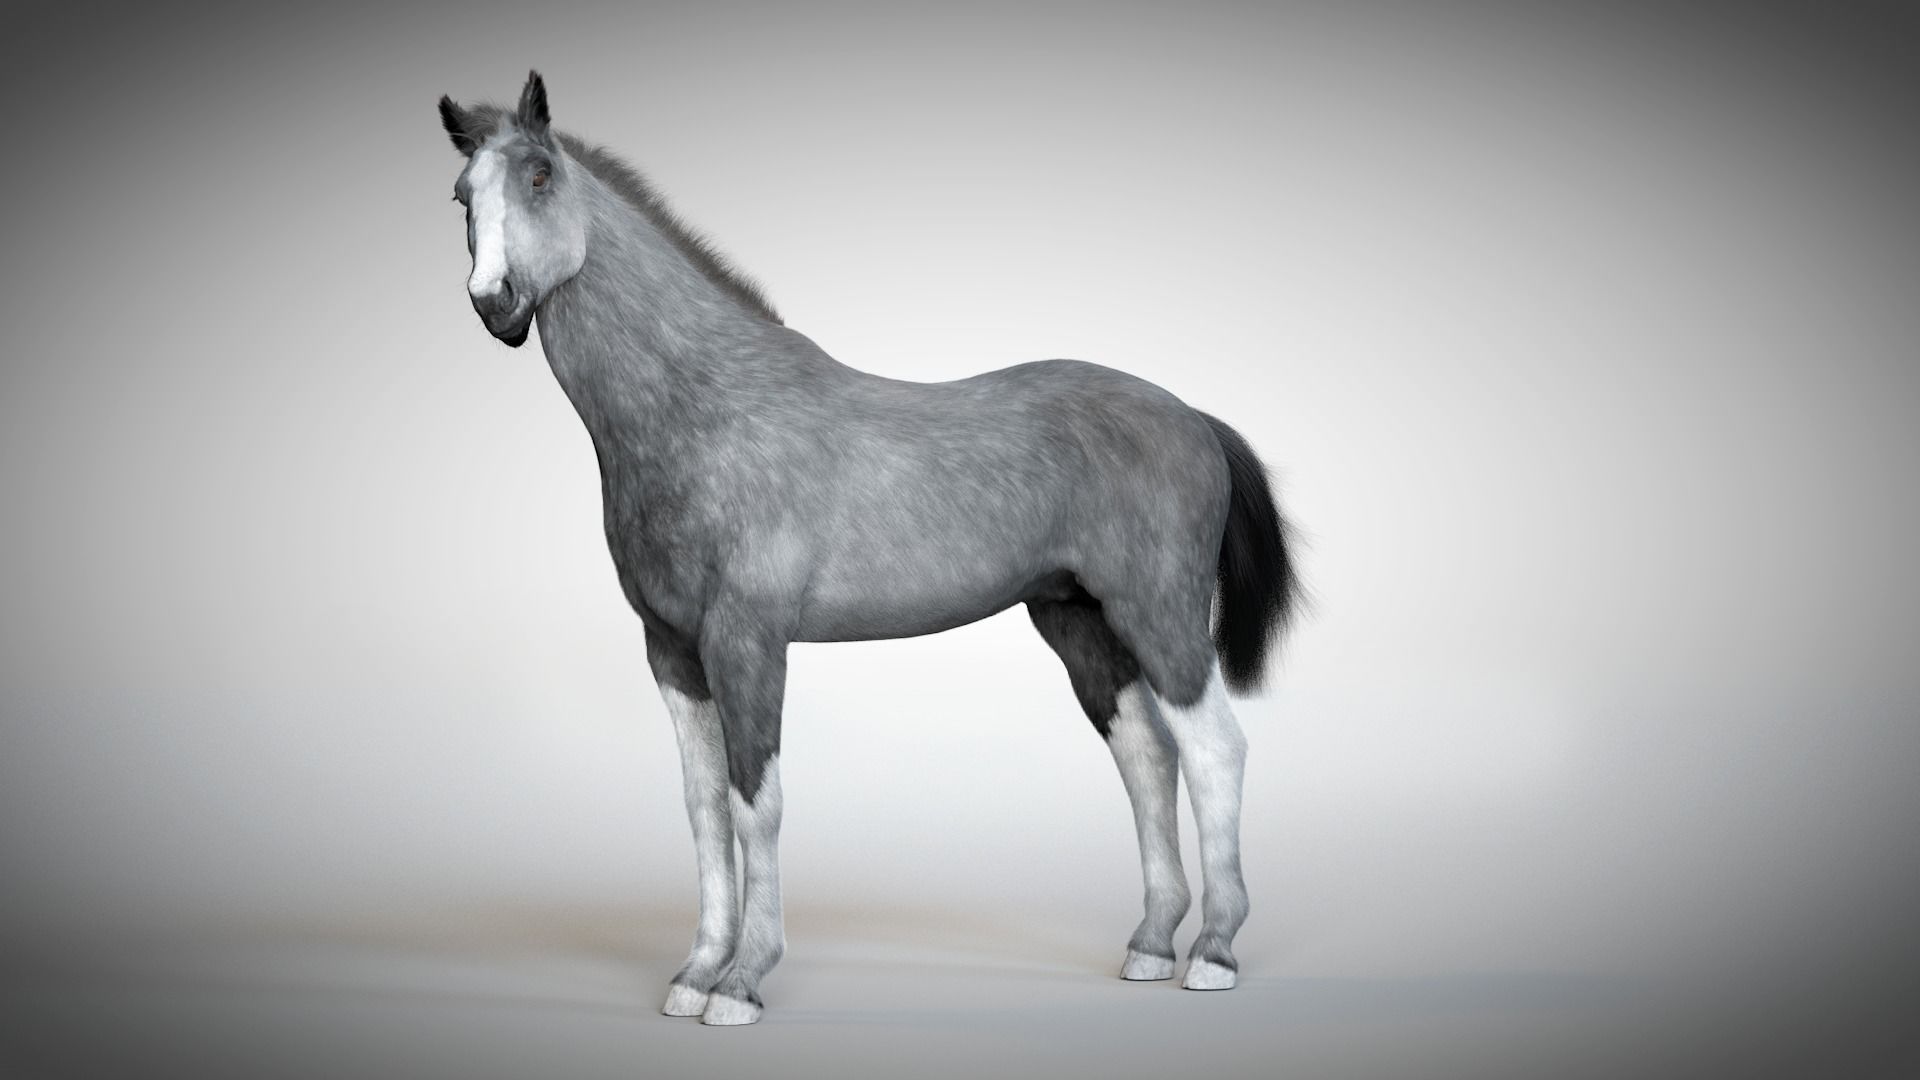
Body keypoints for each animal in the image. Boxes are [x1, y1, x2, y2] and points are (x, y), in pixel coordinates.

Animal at [436, 71, 1302, 1026]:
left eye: (541, 175)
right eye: (462, 196)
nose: (495, 303)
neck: (705, 410)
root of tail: (1194, 418)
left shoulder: (746, 642)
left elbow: (755, 802)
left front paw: (742, 982)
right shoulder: (672, 651)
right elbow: (702, 807)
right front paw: (695, 971)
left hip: (1159, 616)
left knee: (1214, 750)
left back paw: (1214, 951)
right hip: (1077, 622)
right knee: (1147, 756)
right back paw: (1150, 944)